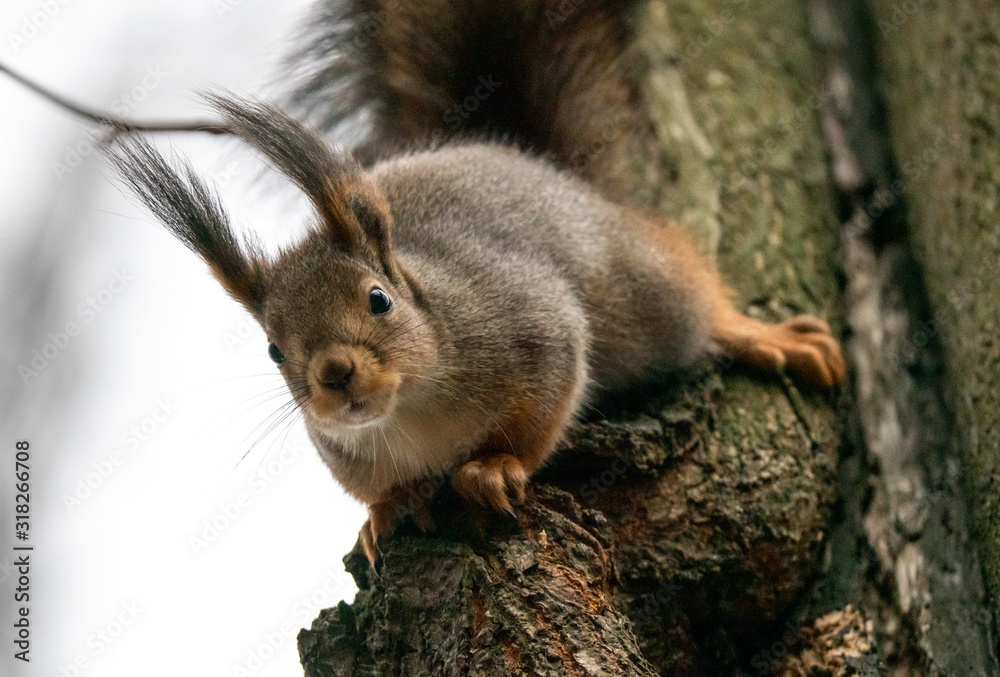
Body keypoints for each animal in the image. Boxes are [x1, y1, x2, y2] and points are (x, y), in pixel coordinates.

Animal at [106, 0, 845, 564]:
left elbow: (541, 414)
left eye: (378, 299)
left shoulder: (535, 327)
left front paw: (493, 467)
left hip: (636, 293)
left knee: (692, 299)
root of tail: (540, 164)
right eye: (272, 349)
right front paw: (385, 510)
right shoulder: (344, 450)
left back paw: (764, 336)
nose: (334, 374)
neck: (411, 412)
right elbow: (374, 490)